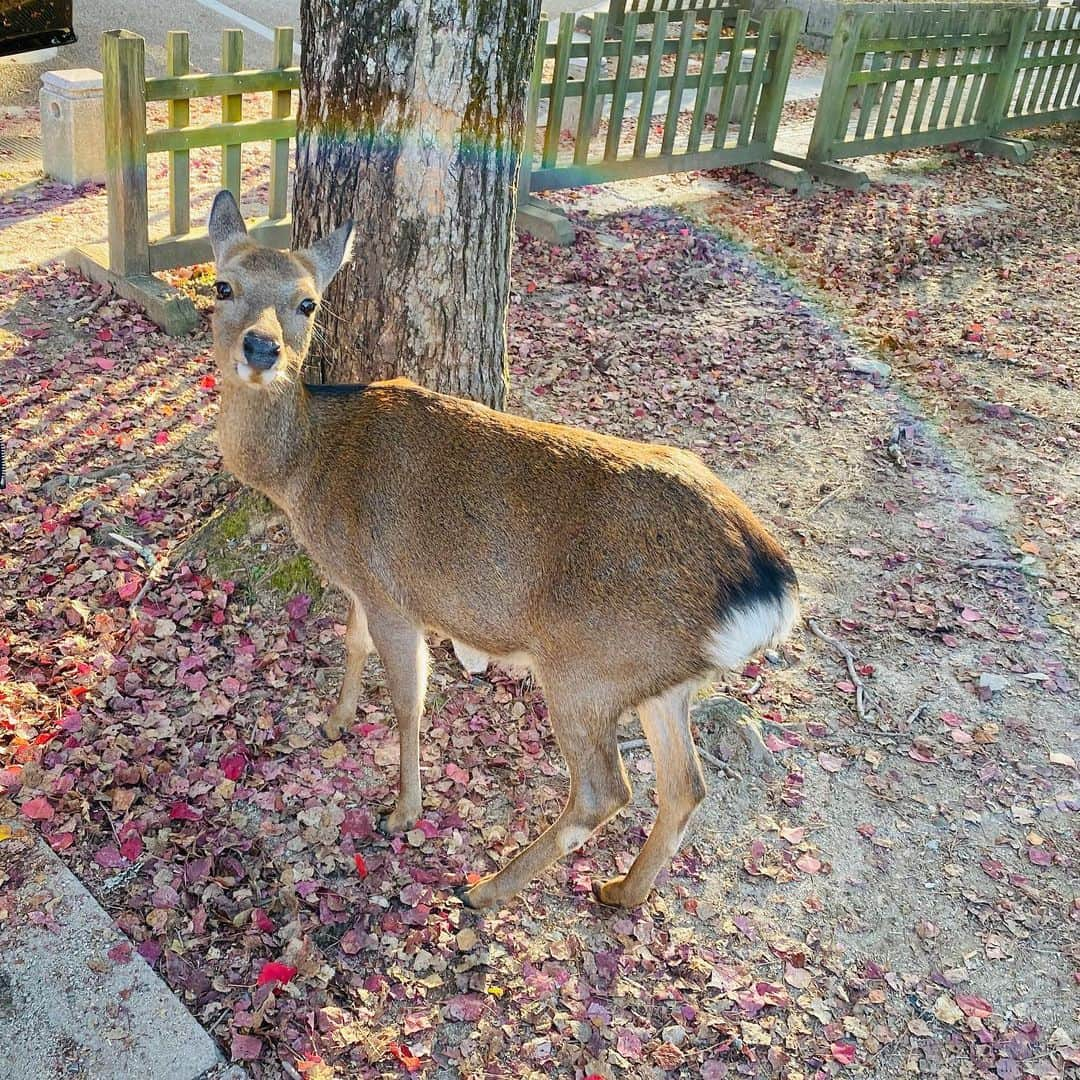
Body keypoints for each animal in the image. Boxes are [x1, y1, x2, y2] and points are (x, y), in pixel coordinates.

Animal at [210, 190, 799, 907]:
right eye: (222, 286)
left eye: (308, 303)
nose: (262, 348)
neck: (306, 470)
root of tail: (771, 587)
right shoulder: (361, 582)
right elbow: (351, 642)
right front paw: (334, 722)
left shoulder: (392, 592)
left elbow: (408, 698)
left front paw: (403, 810)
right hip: (659, 678)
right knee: (686, 785)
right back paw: (620, 891)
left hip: (589, 666)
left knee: (605, 791)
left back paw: (486, 888)